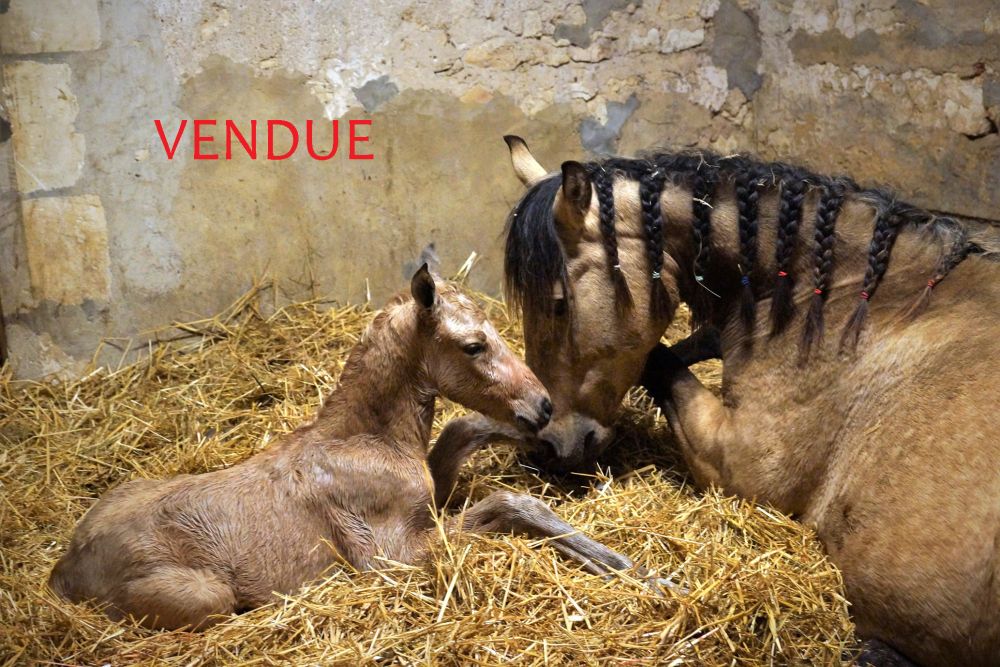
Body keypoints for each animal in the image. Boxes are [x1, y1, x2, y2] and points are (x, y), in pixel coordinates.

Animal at [49, 265, 637, 630]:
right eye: (474, 345)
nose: (542, 405)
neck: (368, 441)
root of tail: (64, 569)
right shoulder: (391, 558)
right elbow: (510, 504)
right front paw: (627, 566)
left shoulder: (432, 493)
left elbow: (461, 433)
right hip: (204, 595)